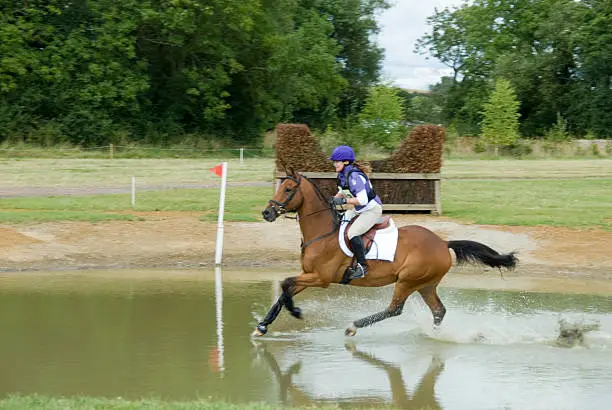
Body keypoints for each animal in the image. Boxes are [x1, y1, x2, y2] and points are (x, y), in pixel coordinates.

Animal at [253, 171, 516, 338]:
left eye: (288, 189)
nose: (266, 213)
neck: (322, 232)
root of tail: (442, 243)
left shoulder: (321, 278)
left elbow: (285, 285)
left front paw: (295, 312)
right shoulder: (308, 275)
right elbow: (284, 292)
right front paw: (262, 327)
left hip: (408, 280)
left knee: (394, 309)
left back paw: (353, 326)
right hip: (426, 285)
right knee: (438, 311)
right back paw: (436, 334)